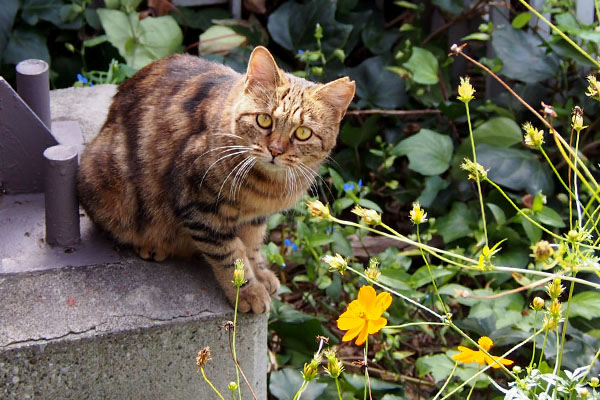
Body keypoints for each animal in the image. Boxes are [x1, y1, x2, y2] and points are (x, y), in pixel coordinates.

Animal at [77, 47, 354, 314]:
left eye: (303, 133)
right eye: (264, 120)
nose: (275, 150)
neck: (266, 186)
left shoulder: (254, 219)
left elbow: (251, 247)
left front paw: (261, 274)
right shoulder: (202, 208)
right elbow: (231, 256)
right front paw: (248, 292)